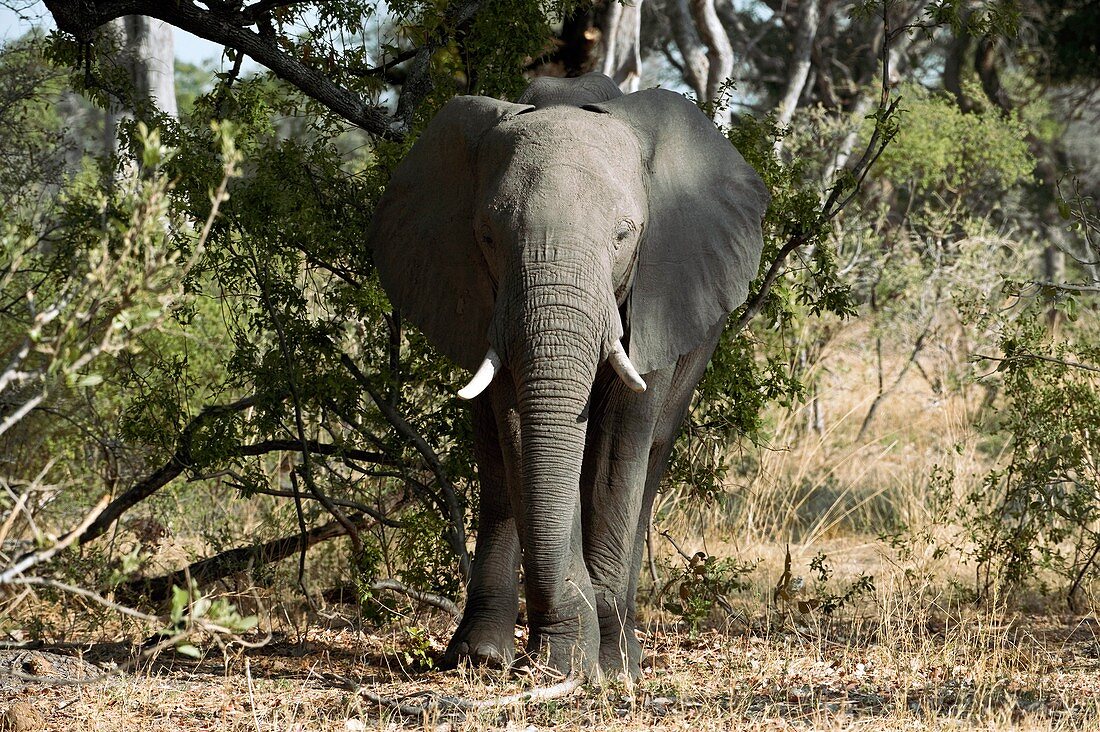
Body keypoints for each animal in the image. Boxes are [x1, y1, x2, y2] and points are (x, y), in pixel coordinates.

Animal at [365, 71, 770, 678]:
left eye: (625, 235)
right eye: (488, 235)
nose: (565, 644)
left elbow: (613, 450)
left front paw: (599, 665)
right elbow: (520, 432)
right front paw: (566, 656)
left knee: (649, 458)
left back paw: (619, 650)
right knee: (496, 468)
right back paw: (480, 657)